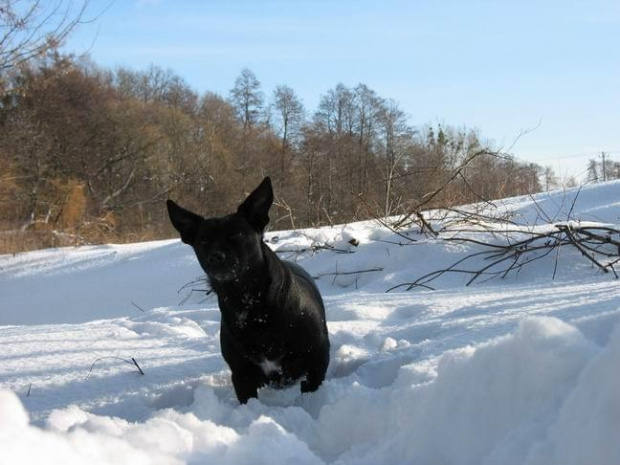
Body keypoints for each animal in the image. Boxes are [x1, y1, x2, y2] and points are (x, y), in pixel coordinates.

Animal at [165, 178, 330, 402]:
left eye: (236, 234)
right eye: (203, 241)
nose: (215, 257)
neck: (248, 301)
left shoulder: (317, 361)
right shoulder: (242, 375)